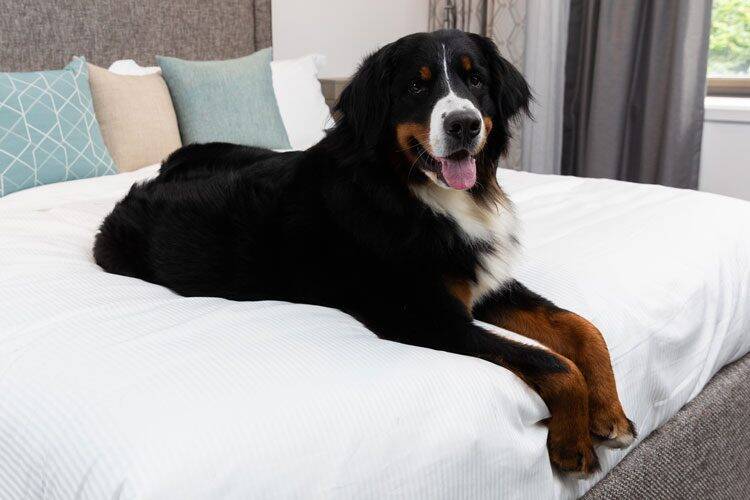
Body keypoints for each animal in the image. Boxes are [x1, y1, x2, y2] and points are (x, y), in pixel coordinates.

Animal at [94, 27, 636, 472]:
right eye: (417, 87)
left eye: (476, 80)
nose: (464, 124)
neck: (413, 193)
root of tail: (155, 176)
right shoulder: (425, 316)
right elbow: (553, 364)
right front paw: (573, 439)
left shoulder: (482, 281)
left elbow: (583, 329)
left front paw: (610, 412)